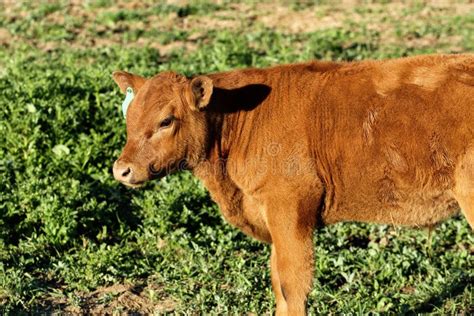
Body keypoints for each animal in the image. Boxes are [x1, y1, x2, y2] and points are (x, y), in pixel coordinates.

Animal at [112, 53, 474, 314]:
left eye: (166, 121)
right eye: (129, 117)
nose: (121, 170)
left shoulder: (289, 207)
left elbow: (292, 284)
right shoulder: (270, 214)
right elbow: (277, 281)